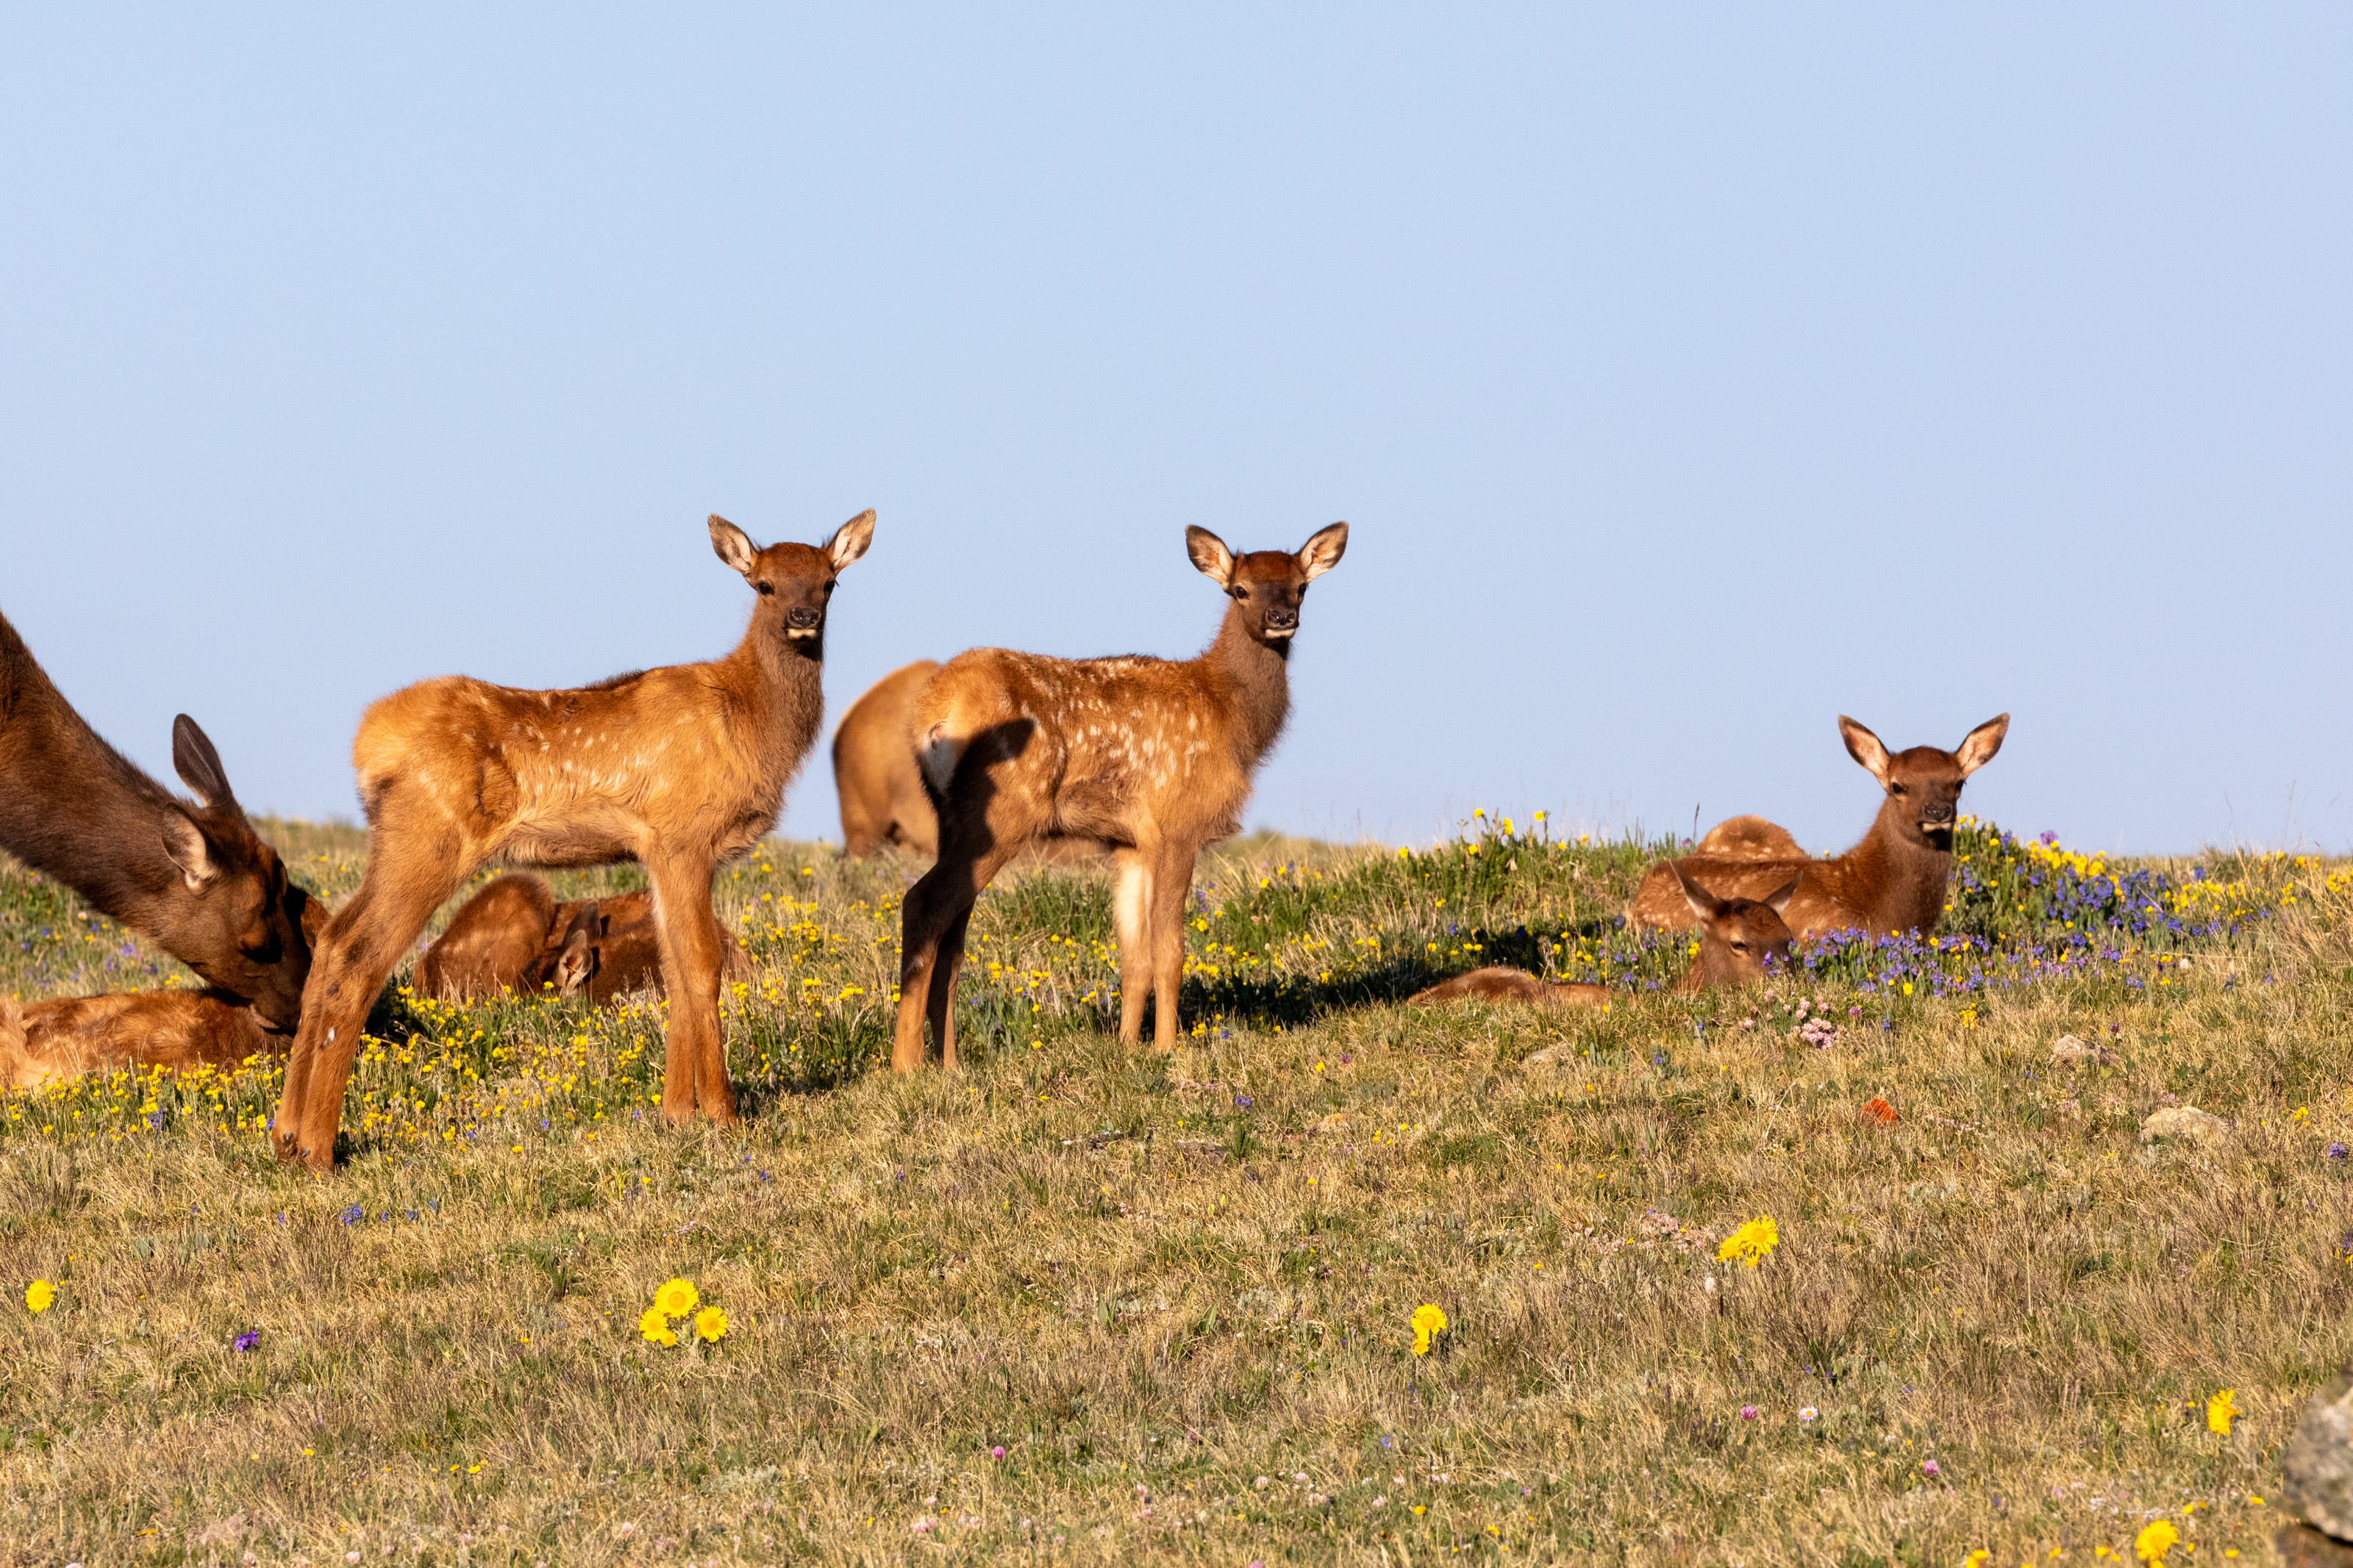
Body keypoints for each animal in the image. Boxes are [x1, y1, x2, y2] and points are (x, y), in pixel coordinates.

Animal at [273, 509, 873, 1171]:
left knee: (331, 939)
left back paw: (285, 1137)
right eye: (764, 584)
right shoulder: (684, 835)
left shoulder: (658, 850)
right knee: (360, 957)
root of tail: (368, 743)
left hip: (394, 840)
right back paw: (319, 1148)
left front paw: (676, 1114)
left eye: (829, 582)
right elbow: (701, 965)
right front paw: (722, 1113)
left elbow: (673, 968)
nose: (804, 617)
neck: (750, 723)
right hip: (430, 837)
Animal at [892, 521, 1349, 1071]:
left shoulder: (1130, 841)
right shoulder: (1178, 822)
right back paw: (906, 1065)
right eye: (1240, 589)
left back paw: (951, 1065)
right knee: (924, 903)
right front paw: (1167, 1048)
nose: (1281, 619)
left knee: (953, 935)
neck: (1230, 716)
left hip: (951, 818)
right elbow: (1170, 948)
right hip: (1006, 809)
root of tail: (932, 712)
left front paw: (1128, 1047)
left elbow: (1134, 954)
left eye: (1300, 586)